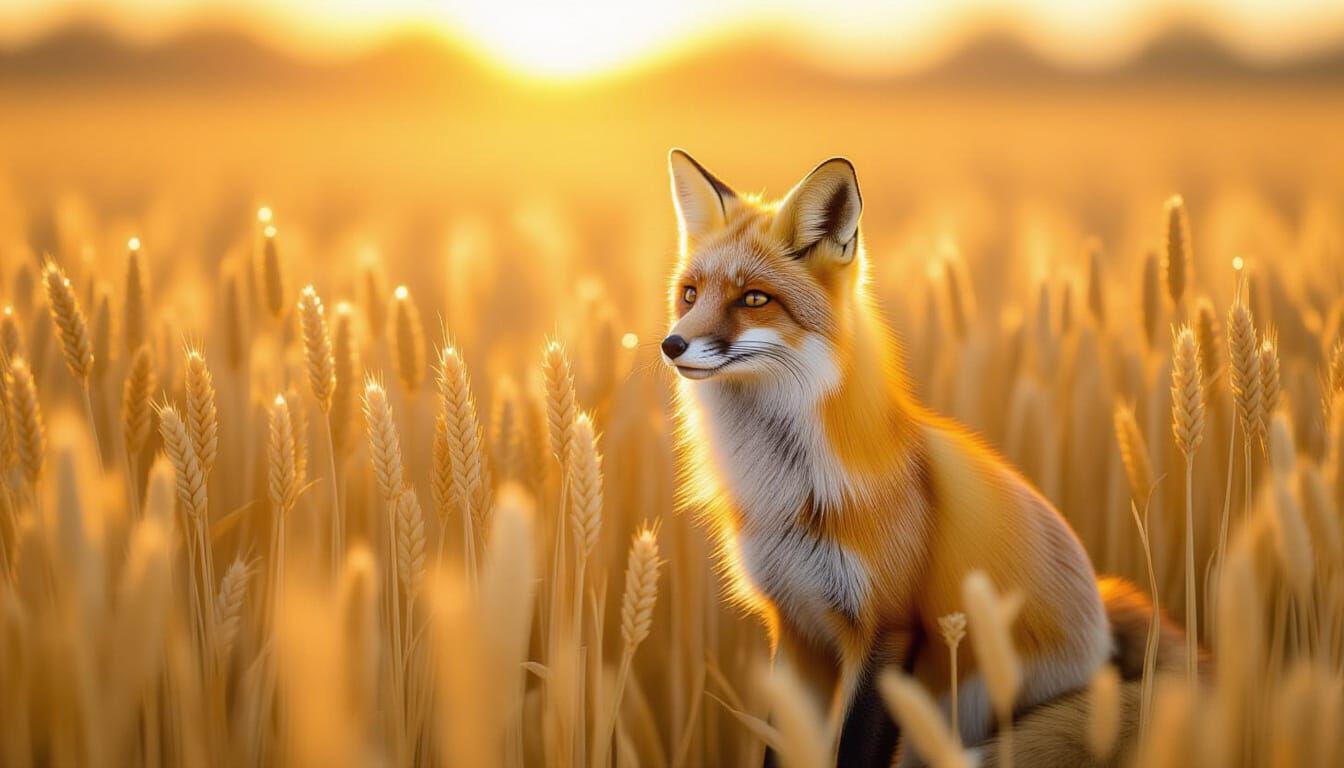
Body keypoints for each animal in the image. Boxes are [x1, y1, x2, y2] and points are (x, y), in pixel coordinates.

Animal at [660, 150, 1186, 766]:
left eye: (754, 299)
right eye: (690, 294)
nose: (671, 344)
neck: (789, 487)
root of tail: (1108, 618)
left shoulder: (890, 629)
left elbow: (854, 752)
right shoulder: (794, 629)